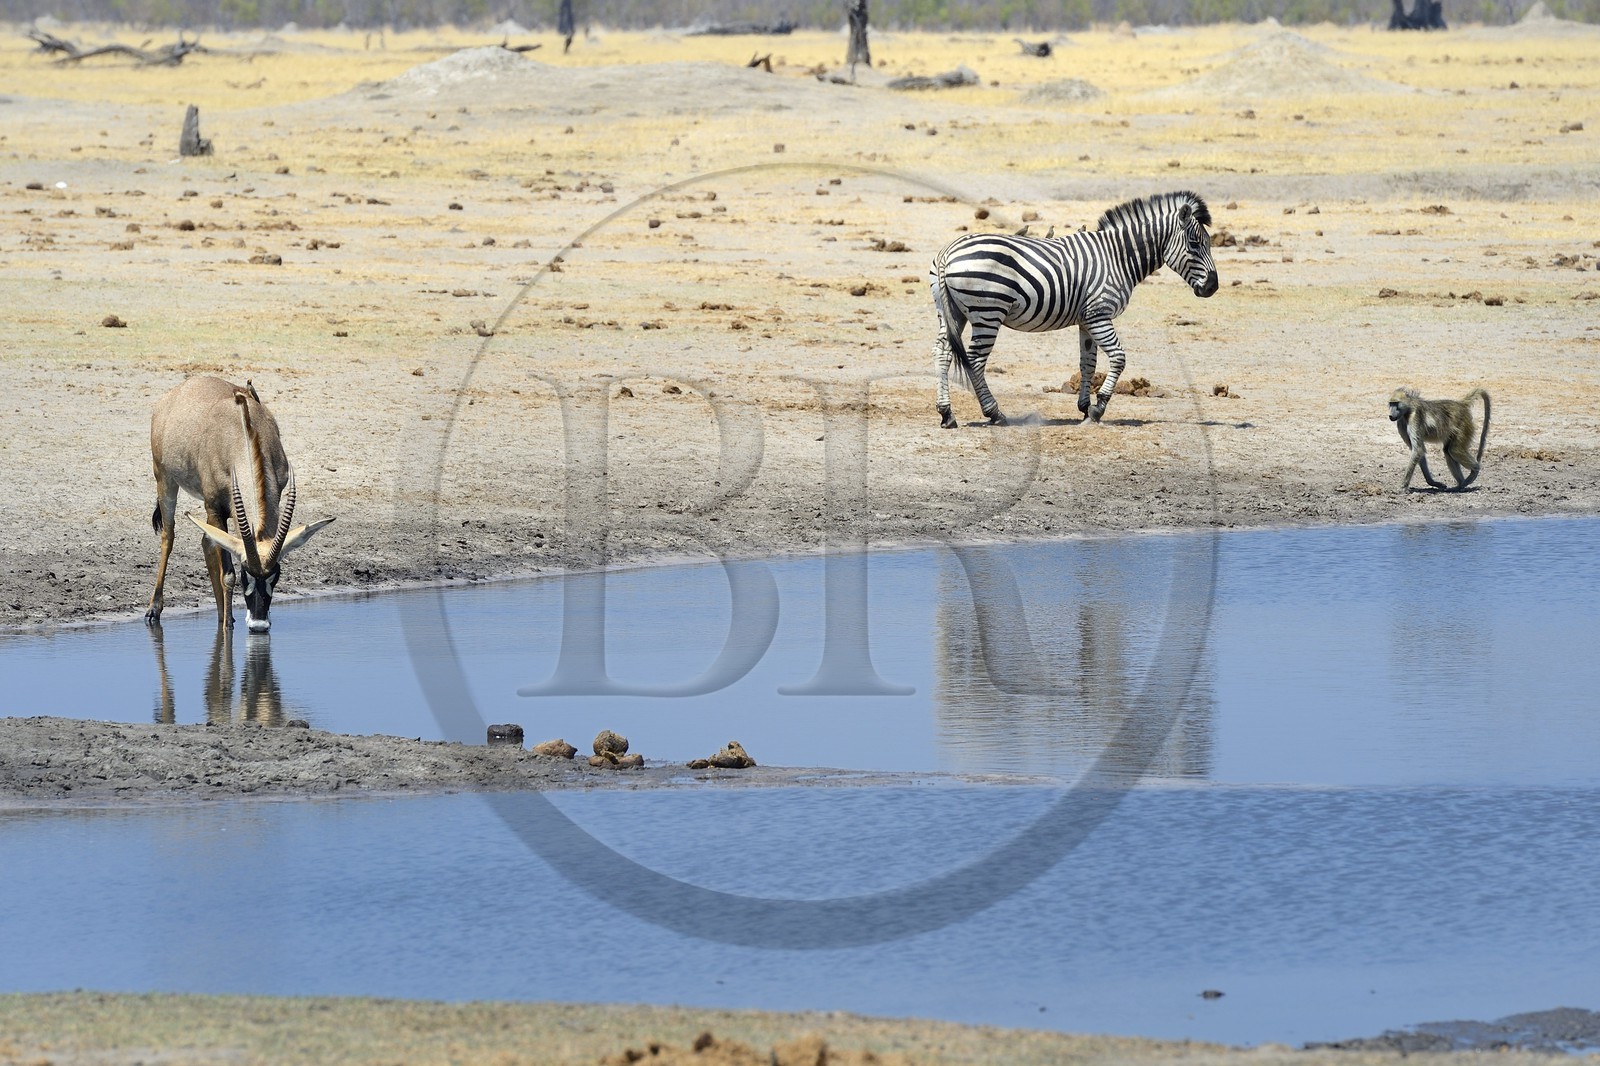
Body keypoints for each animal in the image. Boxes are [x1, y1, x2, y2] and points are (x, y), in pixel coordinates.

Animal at [928, 190, 1219, 428]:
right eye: (1195, 244)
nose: (1213, 287)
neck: (1118, 257)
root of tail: (947, 252)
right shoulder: (1099, 314)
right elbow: (1118, 358)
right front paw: (1098, 409)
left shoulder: (1087, 320)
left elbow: (1088, 363)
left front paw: (1084, 407)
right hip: (988, 313)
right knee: (975, 361)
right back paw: (994, 413)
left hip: (951, 313)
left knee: (942, 353)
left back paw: (947, 414)